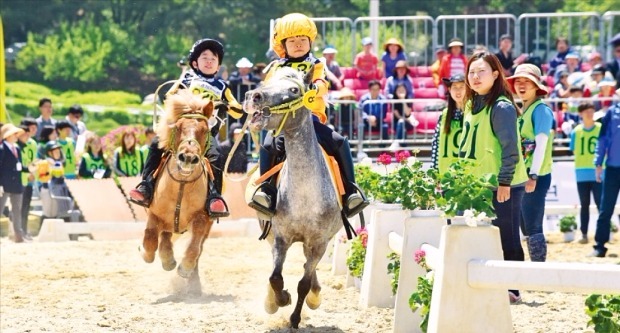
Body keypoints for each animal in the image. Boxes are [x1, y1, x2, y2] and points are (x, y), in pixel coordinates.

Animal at [140, 89, 216, 294]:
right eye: (179, 127)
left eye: (204, 130)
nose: (188, 157)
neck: (182, 184)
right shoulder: (154, 214)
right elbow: (150, 237)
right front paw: (146, 254)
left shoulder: (201, 218)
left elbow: (194, 249)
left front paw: (185, 269)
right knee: (164, 236)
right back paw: (167, 259)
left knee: (197, 249)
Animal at [243, 67, 342, 326]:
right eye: (267, 82)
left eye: (294, 89)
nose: (253, 96)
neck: (304, 195)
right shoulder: (280, 238)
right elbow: (275, 277)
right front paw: (278, 300)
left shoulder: (318, 241)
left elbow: (304, 283)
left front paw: (296, 317)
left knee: (309, 266)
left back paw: (315, 296)